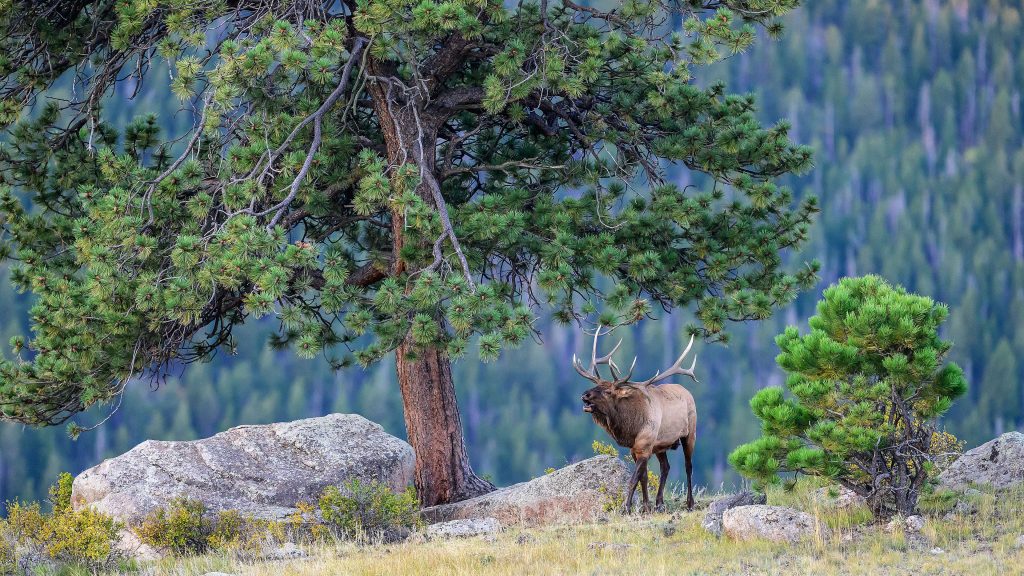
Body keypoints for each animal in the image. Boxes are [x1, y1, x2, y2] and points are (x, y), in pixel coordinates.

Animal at [574, 326, 699, 513]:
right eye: (596, 385)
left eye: (608, 391)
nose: (584, 395)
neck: (631, 428)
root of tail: (687, 392)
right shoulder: (636, 449)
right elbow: (644, 478)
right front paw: (646, 506)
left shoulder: (643, 447)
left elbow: (633, 479)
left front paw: (626, 508)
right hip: (660, 445)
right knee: (666, 467)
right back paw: (659, 502)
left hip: (690, 433)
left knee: (688, 466)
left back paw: (690, 503)